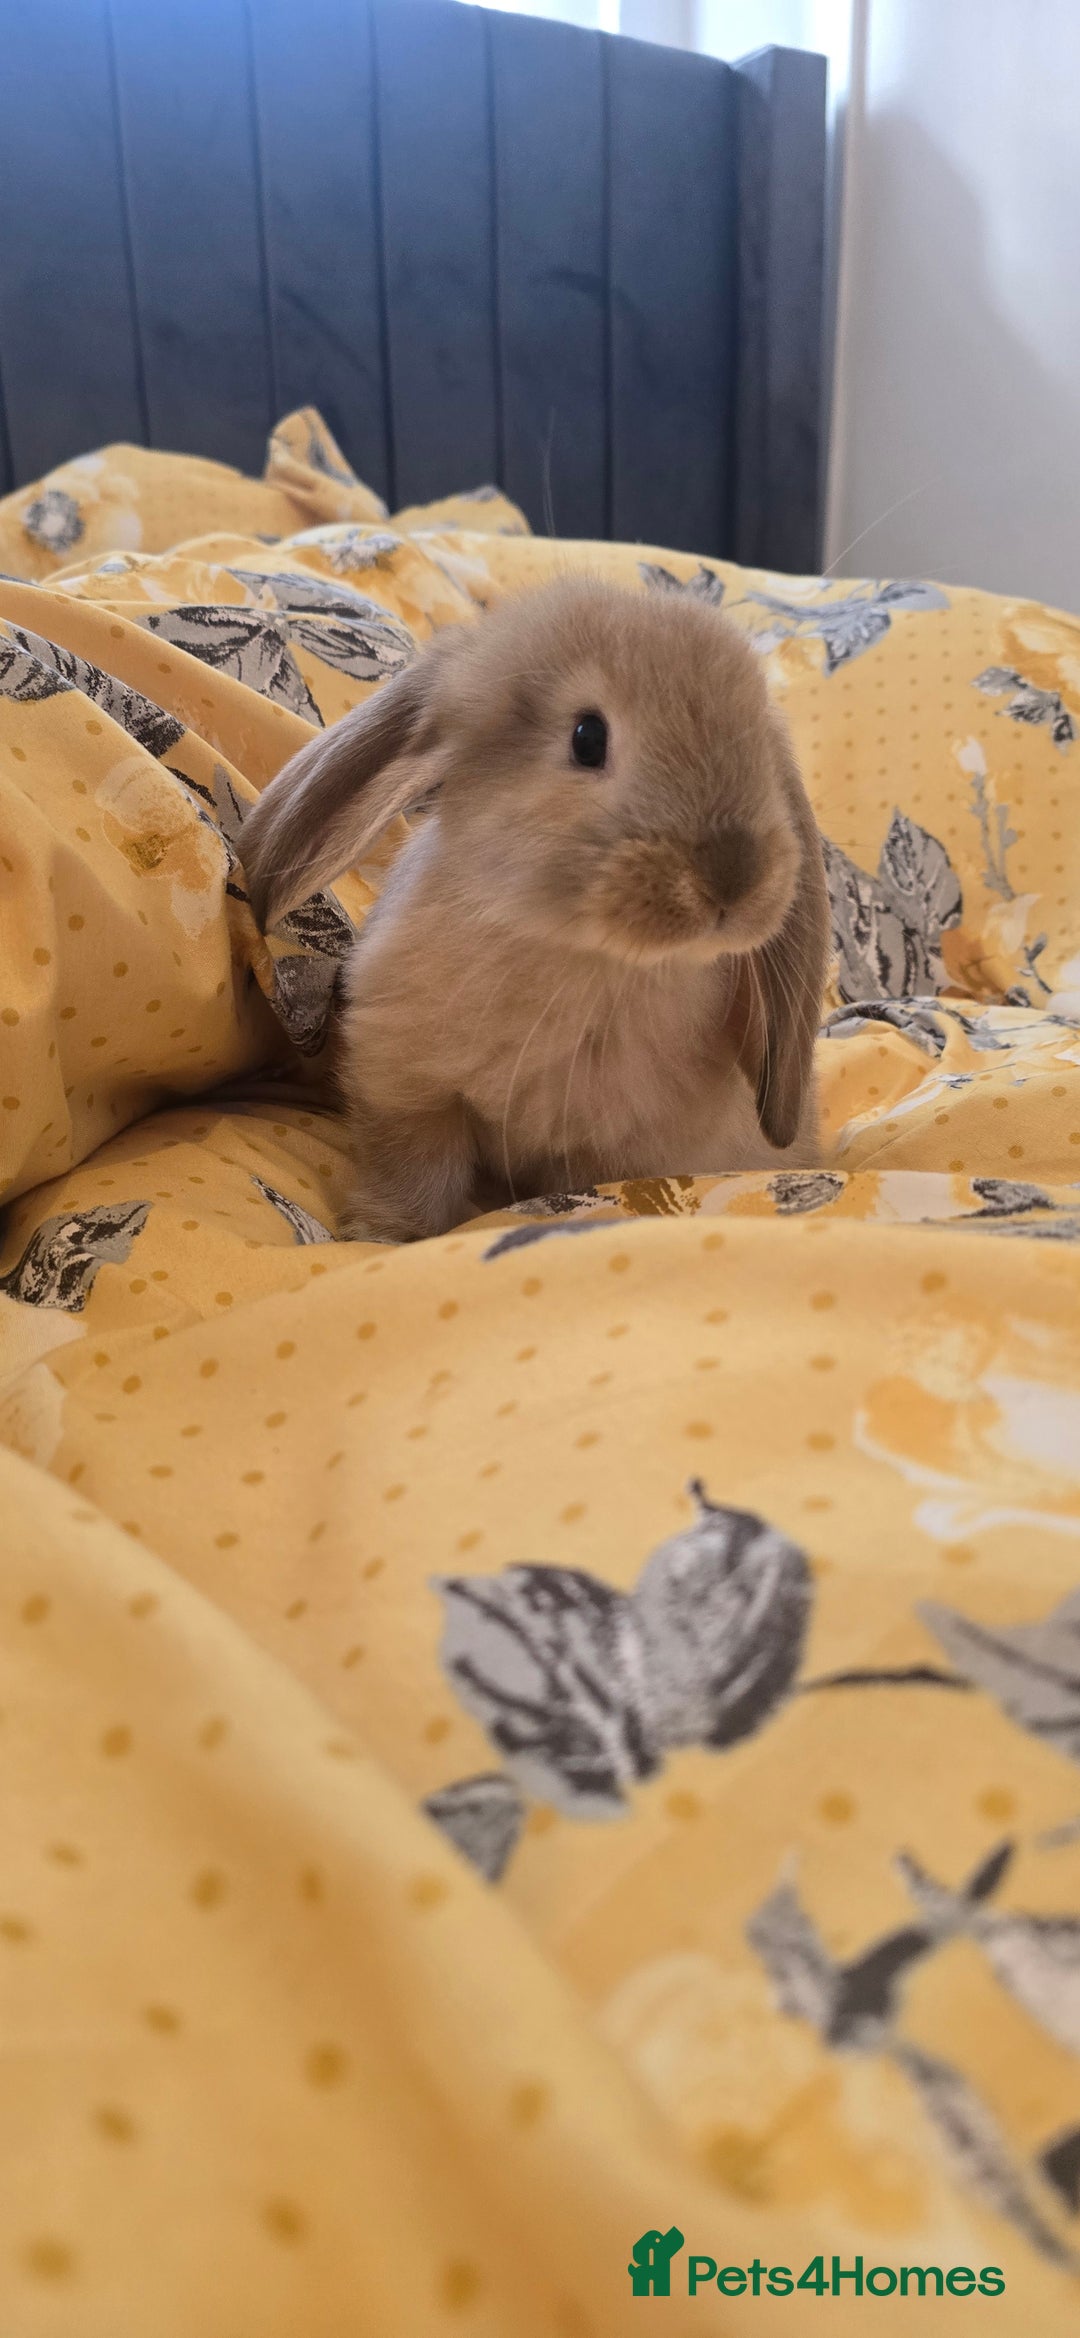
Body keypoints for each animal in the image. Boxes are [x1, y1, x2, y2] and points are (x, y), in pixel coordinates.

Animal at [240, 576, 831, 1243]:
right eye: (587, 737)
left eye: (761, 750)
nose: (734, 879)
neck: (578, 955)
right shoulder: (409, 1093)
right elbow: (412, 1178)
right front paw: (381, 1235)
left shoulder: (605, 1153)